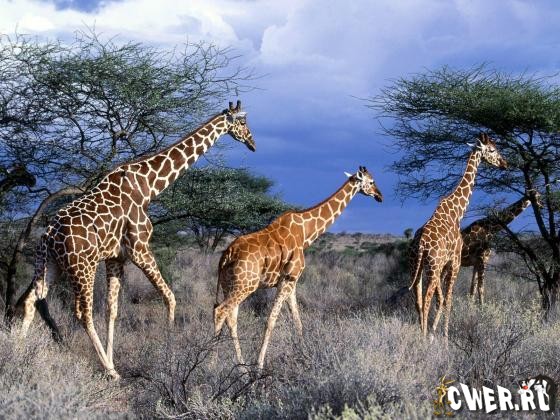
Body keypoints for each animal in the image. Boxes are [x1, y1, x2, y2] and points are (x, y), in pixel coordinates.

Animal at [16, 101, 255, 379]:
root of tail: (48, 234)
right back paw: (110, 372)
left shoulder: (116, 257)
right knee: (82, 312)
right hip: (82, 267)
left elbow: (112, 310)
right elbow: (170, 297)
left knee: (31, 300)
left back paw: (20, 354)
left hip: (50, 264)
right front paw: (169, 353)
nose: (252, 143)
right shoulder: (139, 248)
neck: (148, 186)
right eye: (243, 122)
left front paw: (115, 356)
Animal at [214, 166, 383, 369]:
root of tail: (227, 254)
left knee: (230, 318)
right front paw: (259, 366)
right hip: (245, 285)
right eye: (371, 181)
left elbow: (297, 320)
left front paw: (304, 355)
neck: (305, 234)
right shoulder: (287, 280)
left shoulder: (291, 283)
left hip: (229, 285)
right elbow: (271, 321)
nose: (380, 196)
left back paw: (240, 367)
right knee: (220, 311)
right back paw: (210, 362)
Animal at [408, 133, 507, 338]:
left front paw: (434, 334)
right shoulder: (455, 262)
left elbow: (442, 300)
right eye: (492, 149)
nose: (505, 163)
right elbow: (448, 300)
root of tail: (420, 245)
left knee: (418, 300)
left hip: (416, 267)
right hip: (433, 267)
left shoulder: (447, 265)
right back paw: (424, 338)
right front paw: (444, 338)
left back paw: (421, 335)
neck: (456, 212)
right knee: (427, 299)